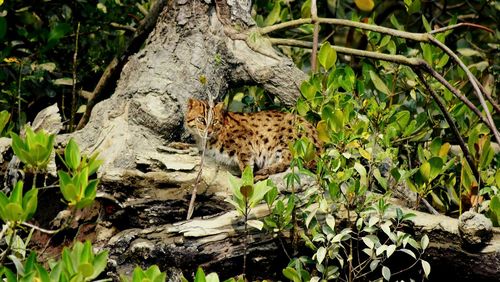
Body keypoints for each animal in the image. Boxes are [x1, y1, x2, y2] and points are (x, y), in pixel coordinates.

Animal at [186, 98, 322, 180]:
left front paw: (247, 182)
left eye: (214, 121)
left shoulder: (246, 143)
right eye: (201, 119)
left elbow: (246, 166)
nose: (208, 131)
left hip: (287, 139)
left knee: (289, 161)